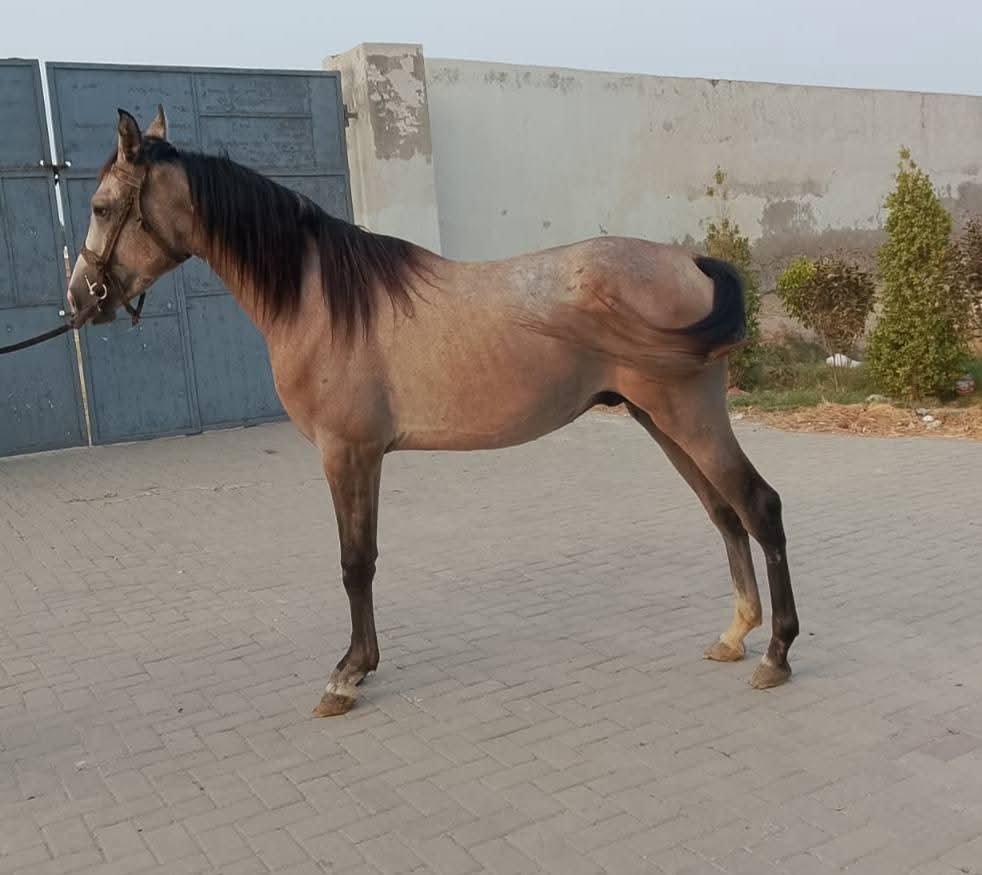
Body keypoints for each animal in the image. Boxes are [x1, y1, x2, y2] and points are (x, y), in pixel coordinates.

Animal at [65, 107, 799, 717]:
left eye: (101, 206)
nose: (78, 298)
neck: (321, 301)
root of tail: (691, 262)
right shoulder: (360, 456)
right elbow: (362, 558)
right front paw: (359, 665)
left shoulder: (347, 453)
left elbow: (354, 562)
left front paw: (347, 675)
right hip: (661, 420)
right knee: (724, 513)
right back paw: (736, 633)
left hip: (687, 416)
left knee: (759, 507)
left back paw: (776, 654)